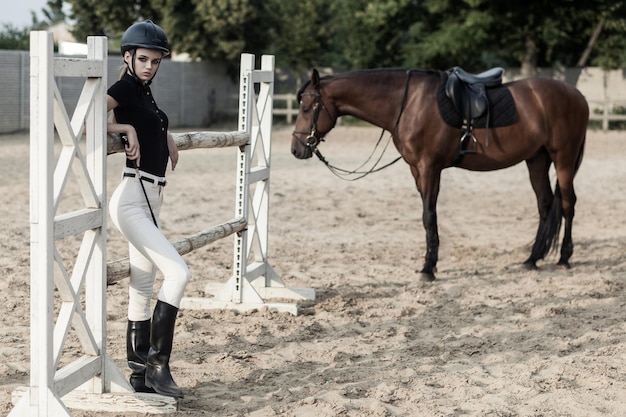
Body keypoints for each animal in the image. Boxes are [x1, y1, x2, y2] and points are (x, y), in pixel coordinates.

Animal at [288, 67, 584, 280]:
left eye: (306, 107)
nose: (296, 148)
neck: (407, 103)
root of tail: (577, 95)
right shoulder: (416, 170)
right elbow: (428, 216)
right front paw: (431, 263)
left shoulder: (429, 167)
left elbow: (429, 216)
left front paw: (428, 268)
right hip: (536, 159)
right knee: (545, 205)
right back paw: (533, 258)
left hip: (564, 159)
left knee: (568, 205)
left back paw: (564, 258)